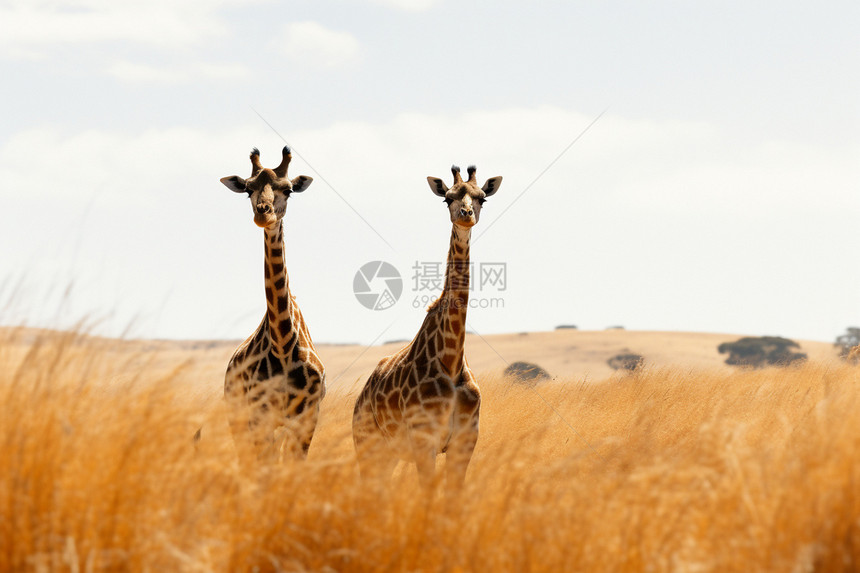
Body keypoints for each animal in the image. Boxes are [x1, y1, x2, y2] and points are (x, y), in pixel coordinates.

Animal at [218, 145, 326, 462]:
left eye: (288, 190)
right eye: (247, 189)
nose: (263, 214)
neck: (282, 344)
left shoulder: (307, 417)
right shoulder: (260, 416)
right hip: (238, 415)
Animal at [352, 162, 500, 488]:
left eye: (482, 198)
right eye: (448, 198)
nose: (465, 215)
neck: (452, 360)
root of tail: (362, 396)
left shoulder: (465, 441)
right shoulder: (424, 440)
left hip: (388, 453)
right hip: (367, 443)